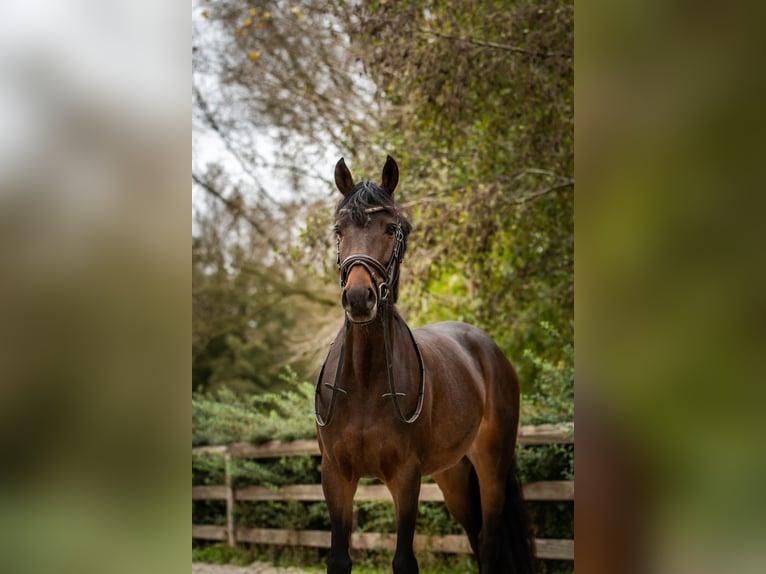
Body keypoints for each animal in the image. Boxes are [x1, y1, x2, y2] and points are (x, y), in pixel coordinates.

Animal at [316, 155, 536, 572]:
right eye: (339, 231)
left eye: (392, 228)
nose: (359, 298)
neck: (365, 381)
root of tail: (488, 349)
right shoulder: (336, 475)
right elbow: (339, 559)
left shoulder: (406, 477)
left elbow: (404, 561)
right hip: (454, 475)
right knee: (476, 535)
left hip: (491, 467)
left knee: (489, 542)